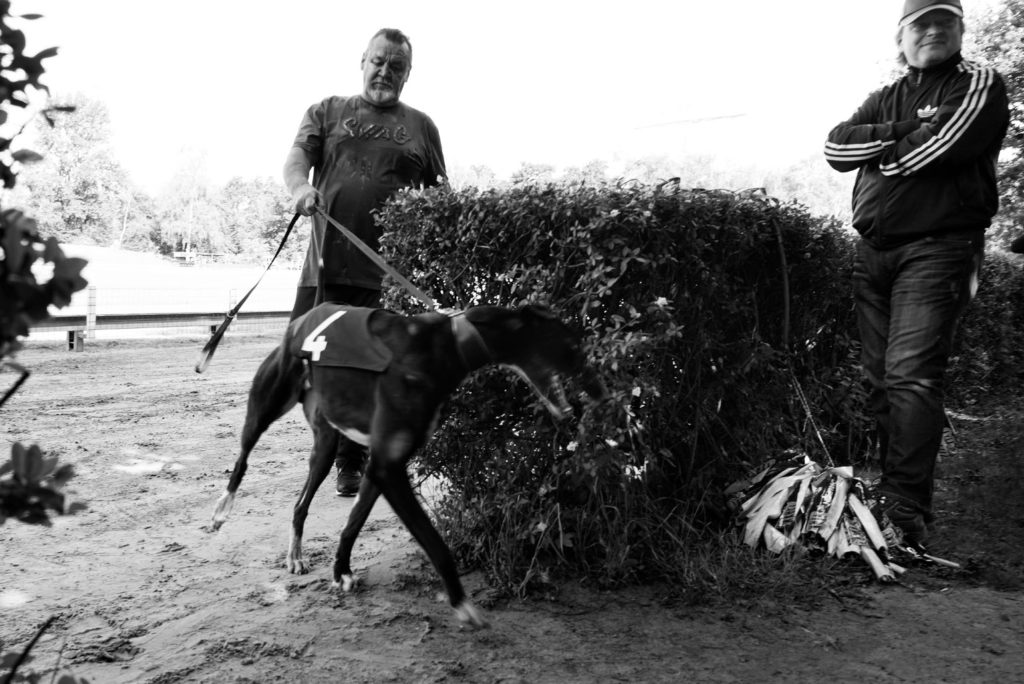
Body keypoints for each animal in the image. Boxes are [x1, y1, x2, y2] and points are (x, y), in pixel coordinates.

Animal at [210, 305, 602, 630]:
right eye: (574, 345)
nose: (600, 392)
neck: (449, 344)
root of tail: (298, 323)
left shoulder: (379, 466)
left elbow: (353, 523)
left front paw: (341, 571)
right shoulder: (389, 468)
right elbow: (435, 543)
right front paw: (461, 603)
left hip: (324, 446)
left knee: (299, 503)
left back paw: (295, 555)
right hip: (266, 407)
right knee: (242, 458)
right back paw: (221, 510)